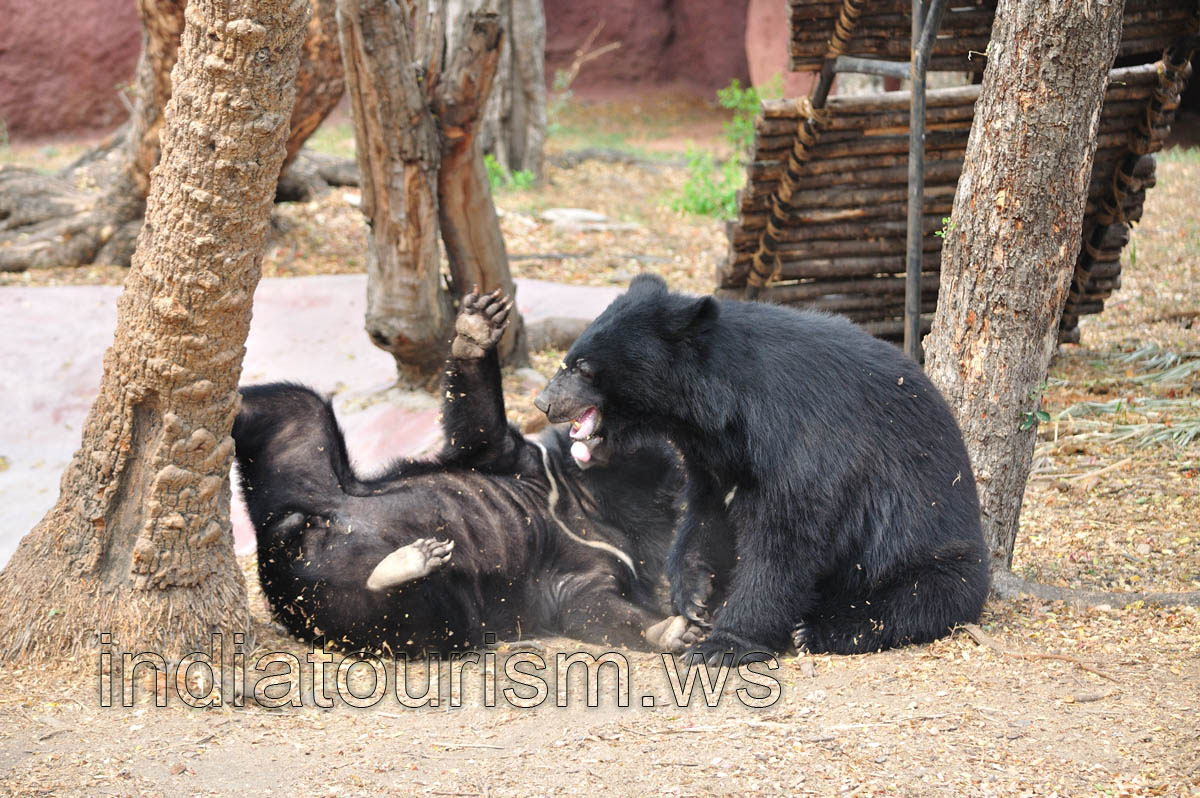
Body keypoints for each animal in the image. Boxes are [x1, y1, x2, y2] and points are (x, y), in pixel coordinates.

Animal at [232, 289, 697, 655]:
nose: (550, 403)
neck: (588, 495)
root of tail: (281, 548)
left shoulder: (606, 562)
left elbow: (591, 606)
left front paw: (671, 630)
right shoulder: (529, 464)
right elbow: (482, 433)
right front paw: (478, 325)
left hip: (354, 606)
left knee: (417, 614)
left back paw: (407, 562)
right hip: (304, 481)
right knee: (289, 405)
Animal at [534, 274, 990, 662]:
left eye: (584, 368)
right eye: (567, 360)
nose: (543, 403)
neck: (719, 411)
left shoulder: (803, 438)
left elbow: (786, 540)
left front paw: (723, 643)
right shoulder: (717, 456)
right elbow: (706, 511)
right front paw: (695, 595)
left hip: (929, 554)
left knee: (913, 601)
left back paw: (816, 630)